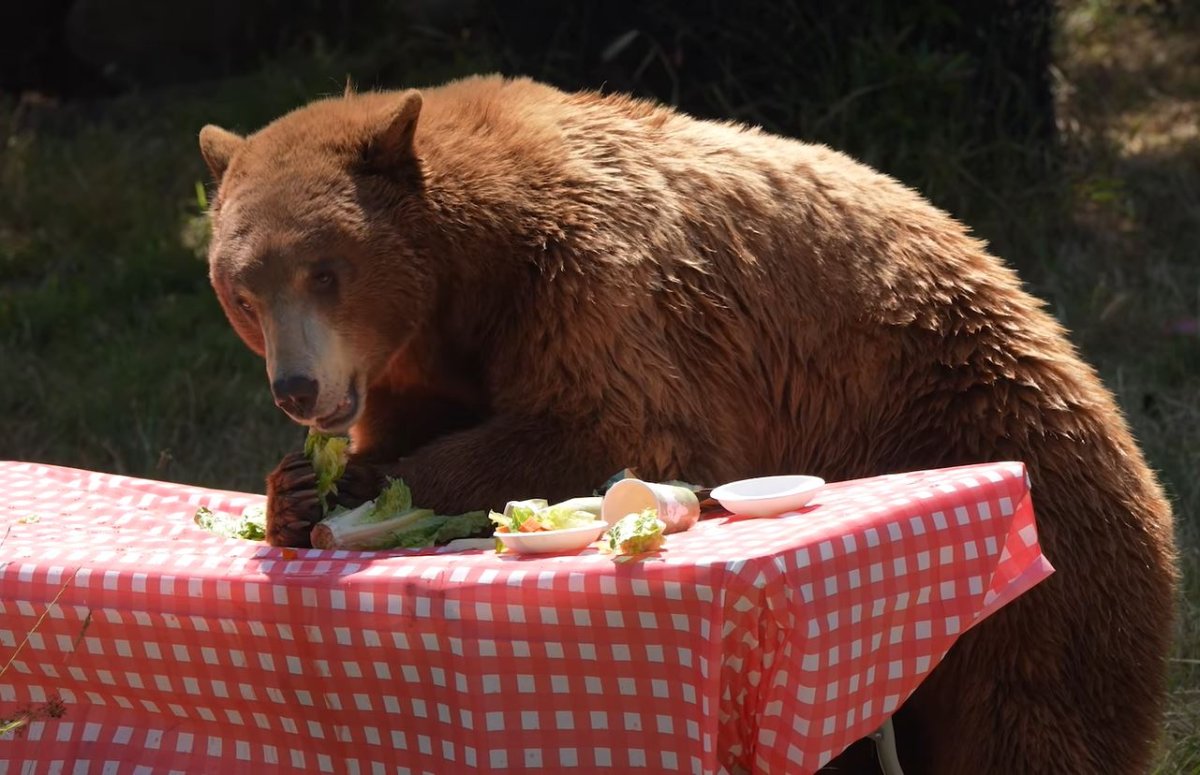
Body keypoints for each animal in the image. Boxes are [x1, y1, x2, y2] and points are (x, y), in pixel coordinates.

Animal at [197, 74, 1177, 774]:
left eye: (325, 270)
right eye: (242, 289)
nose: (295, 387)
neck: (470, 277)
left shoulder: (595, 284)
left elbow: (613, 425)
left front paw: (361, 490)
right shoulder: (419, 362)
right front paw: (295, 487)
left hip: (1000, 446)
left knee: (1033, 700)